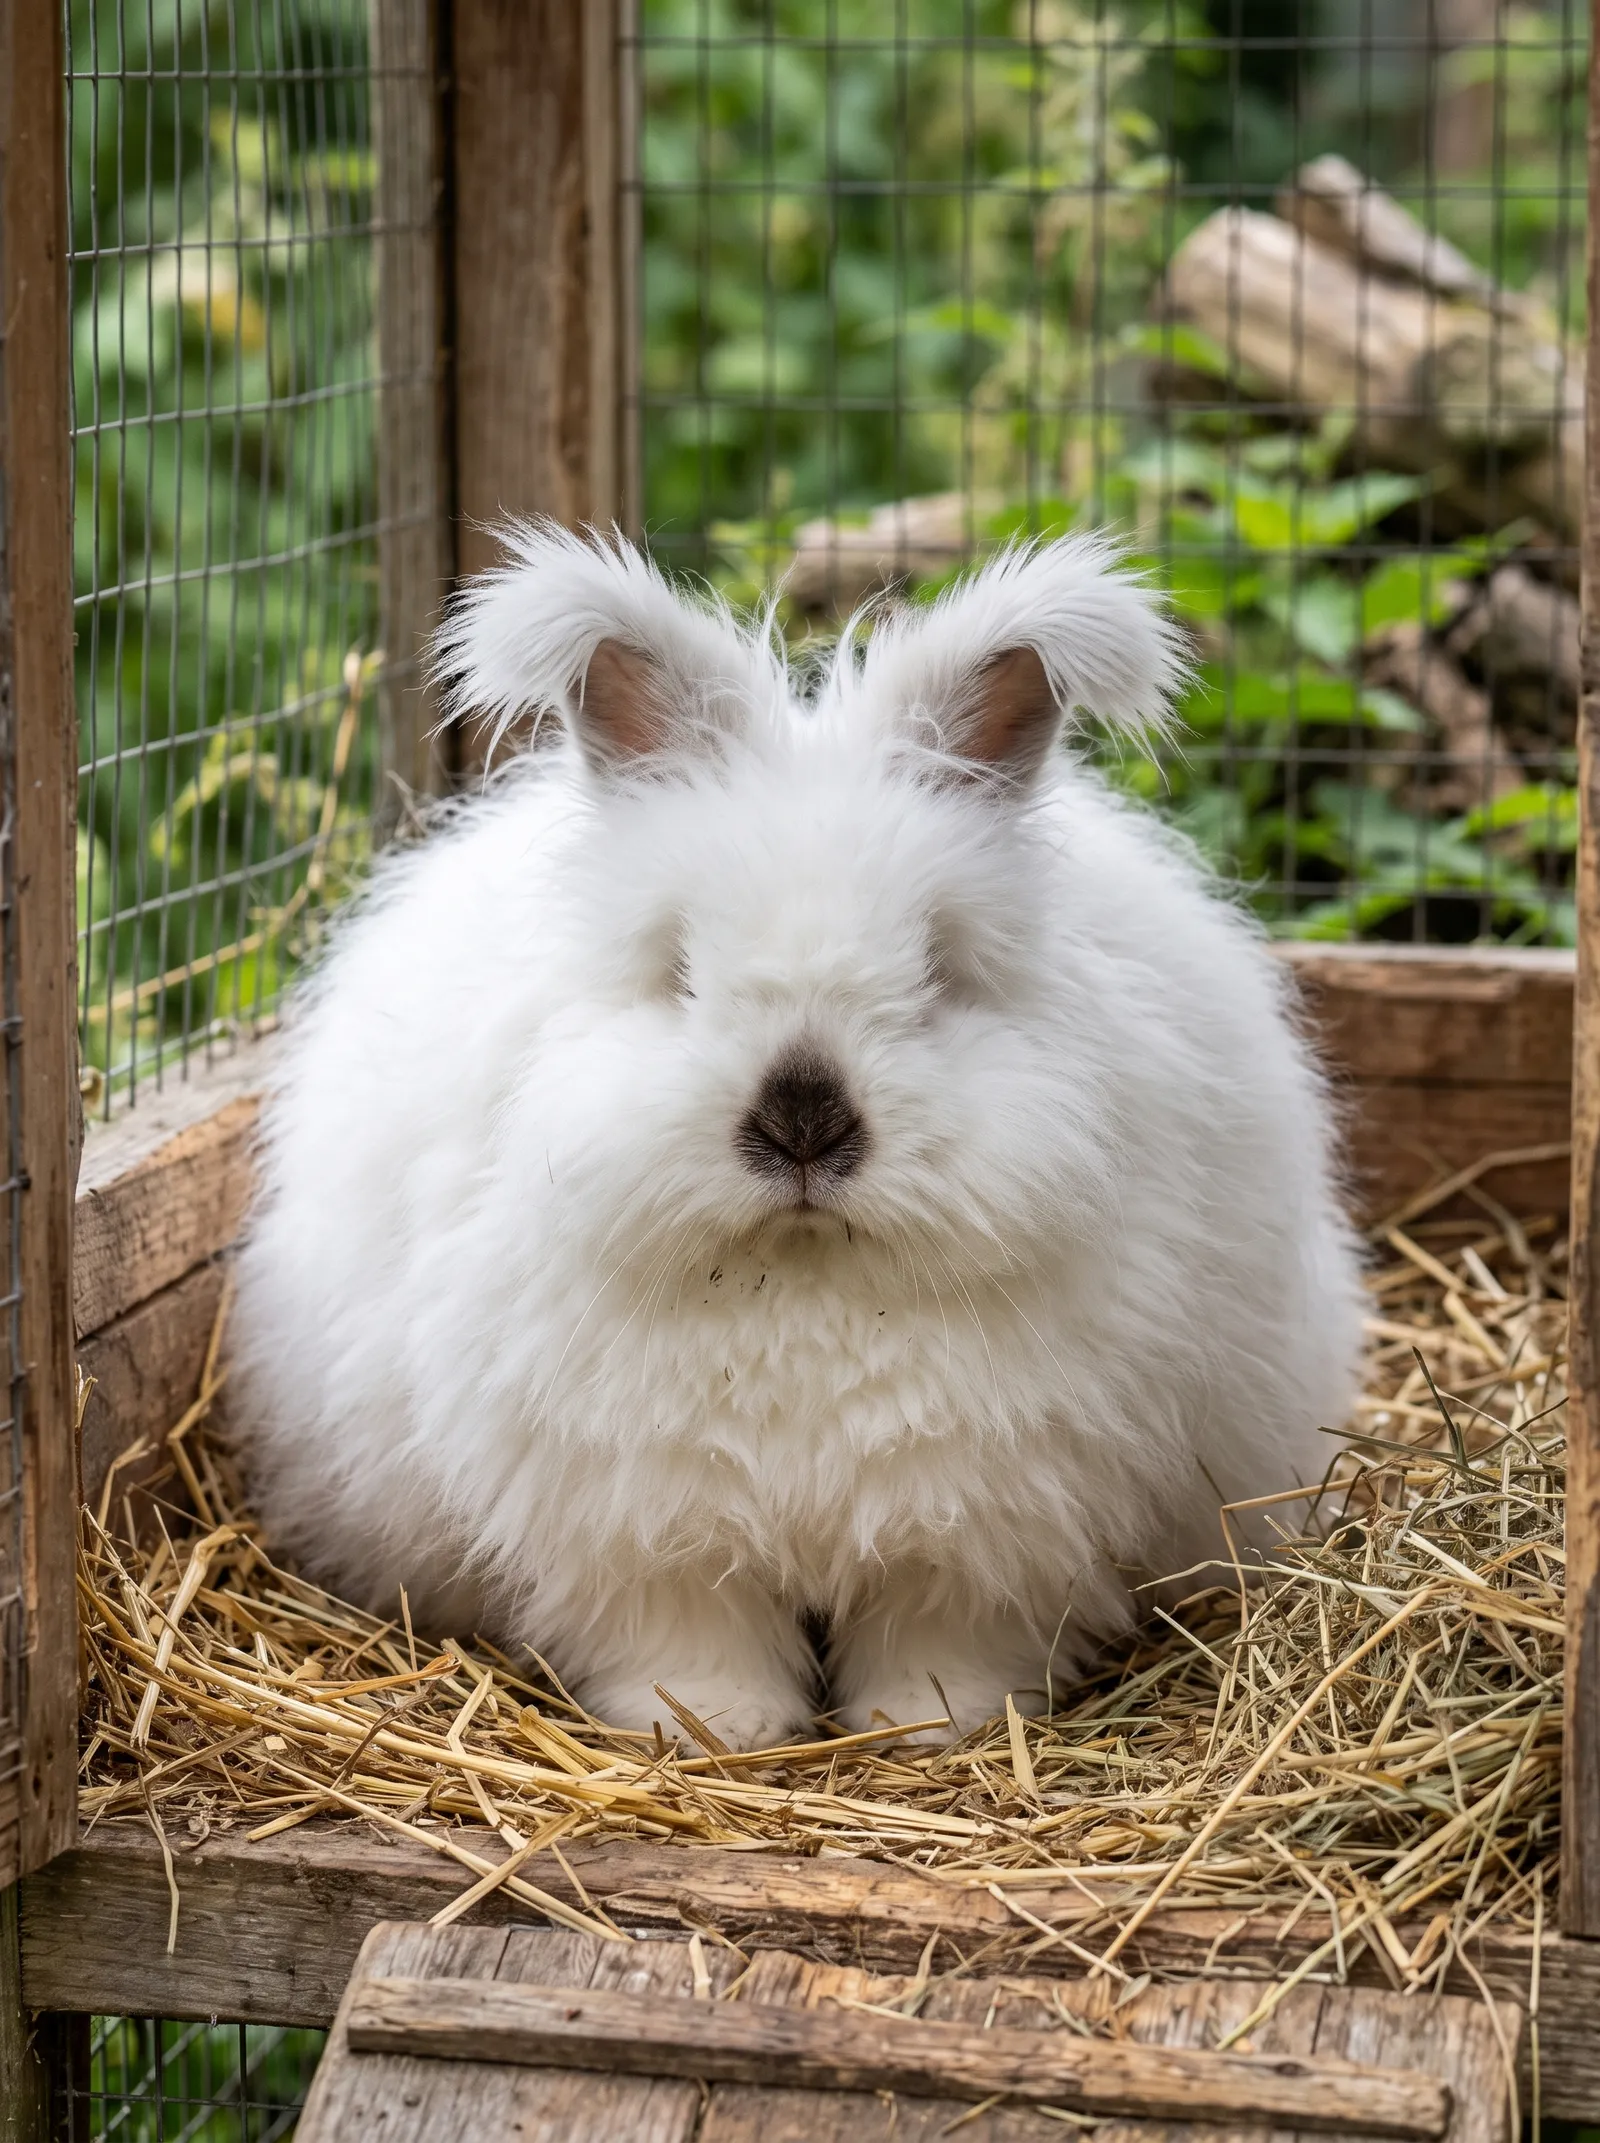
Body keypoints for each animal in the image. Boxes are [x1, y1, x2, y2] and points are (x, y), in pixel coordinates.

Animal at [230, 523, 1365, 1752]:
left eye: (938, 970)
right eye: (679, 968)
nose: (805, 1119)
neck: (806, 1279)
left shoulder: (984, 1522)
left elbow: (944, 1630)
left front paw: (933, 1724)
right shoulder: (646, 1528)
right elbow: (689, 1632)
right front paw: (711, 1727)